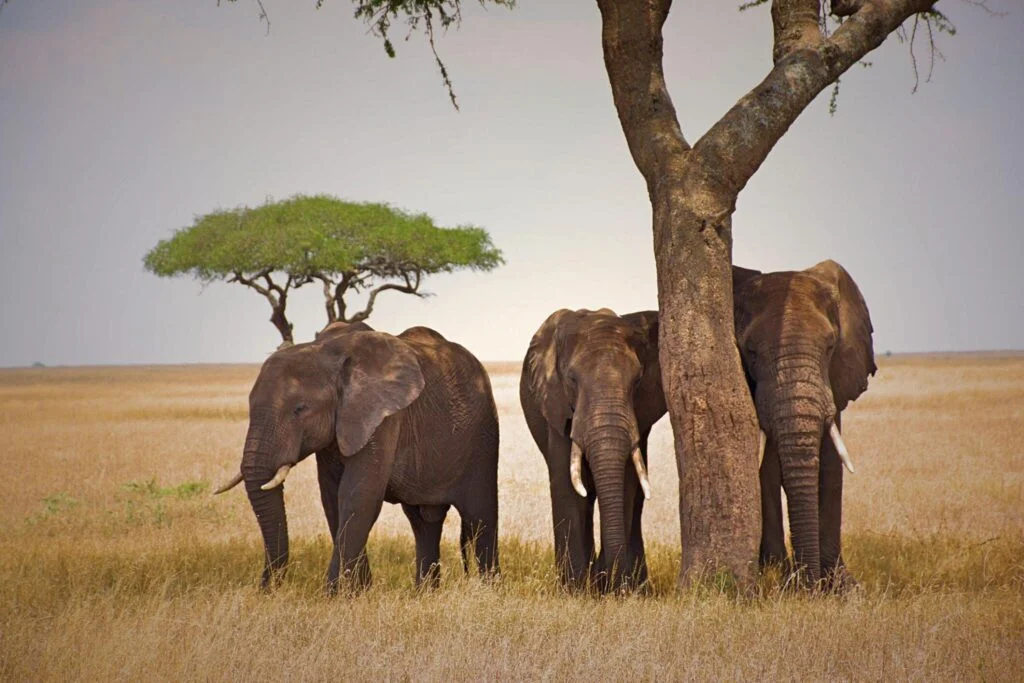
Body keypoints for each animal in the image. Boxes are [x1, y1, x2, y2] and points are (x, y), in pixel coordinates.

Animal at [215, 321, 500, 591]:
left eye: (299, 409)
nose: (266, 590)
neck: (325, 350)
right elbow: (333, 499)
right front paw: (358, 592)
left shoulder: (382, 418)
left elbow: (358, 496)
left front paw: (332, 595)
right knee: (423, 523)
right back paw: (425, 594)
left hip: (482, 437)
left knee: (480, 517)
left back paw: (488, 591)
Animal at [520, 308, 666, 591]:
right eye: (572, 380)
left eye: (637, 381)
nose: (604, 576)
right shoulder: (557, 404)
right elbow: (566, 485)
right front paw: (575, 590)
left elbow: (625, 485)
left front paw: (615, 588)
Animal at [732, 260, 875, 589]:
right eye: (751, 352)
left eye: (831, 346)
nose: (809, 586)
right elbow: (766, 472)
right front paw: (783, 581)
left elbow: (832, 467)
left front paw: (843, 587)